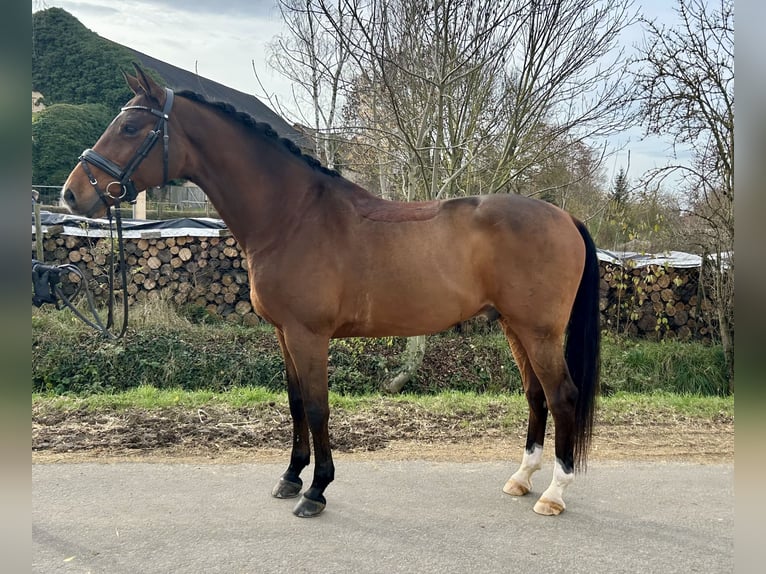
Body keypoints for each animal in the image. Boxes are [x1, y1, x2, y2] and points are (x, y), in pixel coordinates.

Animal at [61, 65, 600, 520]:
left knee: (562, 396)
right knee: (536, 395)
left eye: (131, 128)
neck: (292, 217)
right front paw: (290, 478)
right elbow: (297, 402)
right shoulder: (283, 334)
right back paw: (522, 479)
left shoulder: (309, 335)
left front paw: (317, 491)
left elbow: (319, 406)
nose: (72, 194)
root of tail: (566, 218)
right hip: (514, 327)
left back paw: (554, 493)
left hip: (539, 331)